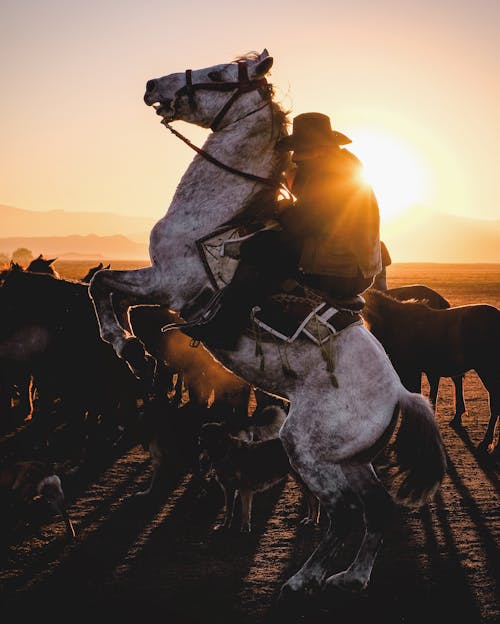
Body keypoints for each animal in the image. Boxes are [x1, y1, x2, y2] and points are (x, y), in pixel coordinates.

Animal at [88, 50, 448, 600]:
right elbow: (106, 287)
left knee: (343, 515)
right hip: (349, 460)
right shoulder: (161, 287)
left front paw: (126, 346)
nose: (153, 85)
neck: (211, 221)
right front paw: (134, 351)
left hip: (307, 450)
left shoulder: (167, 284)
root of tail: (400, 395)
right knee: (375, 509)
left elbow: (102, 284)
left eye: (217, 74)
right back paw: (352, 576)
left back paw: (304, 578)